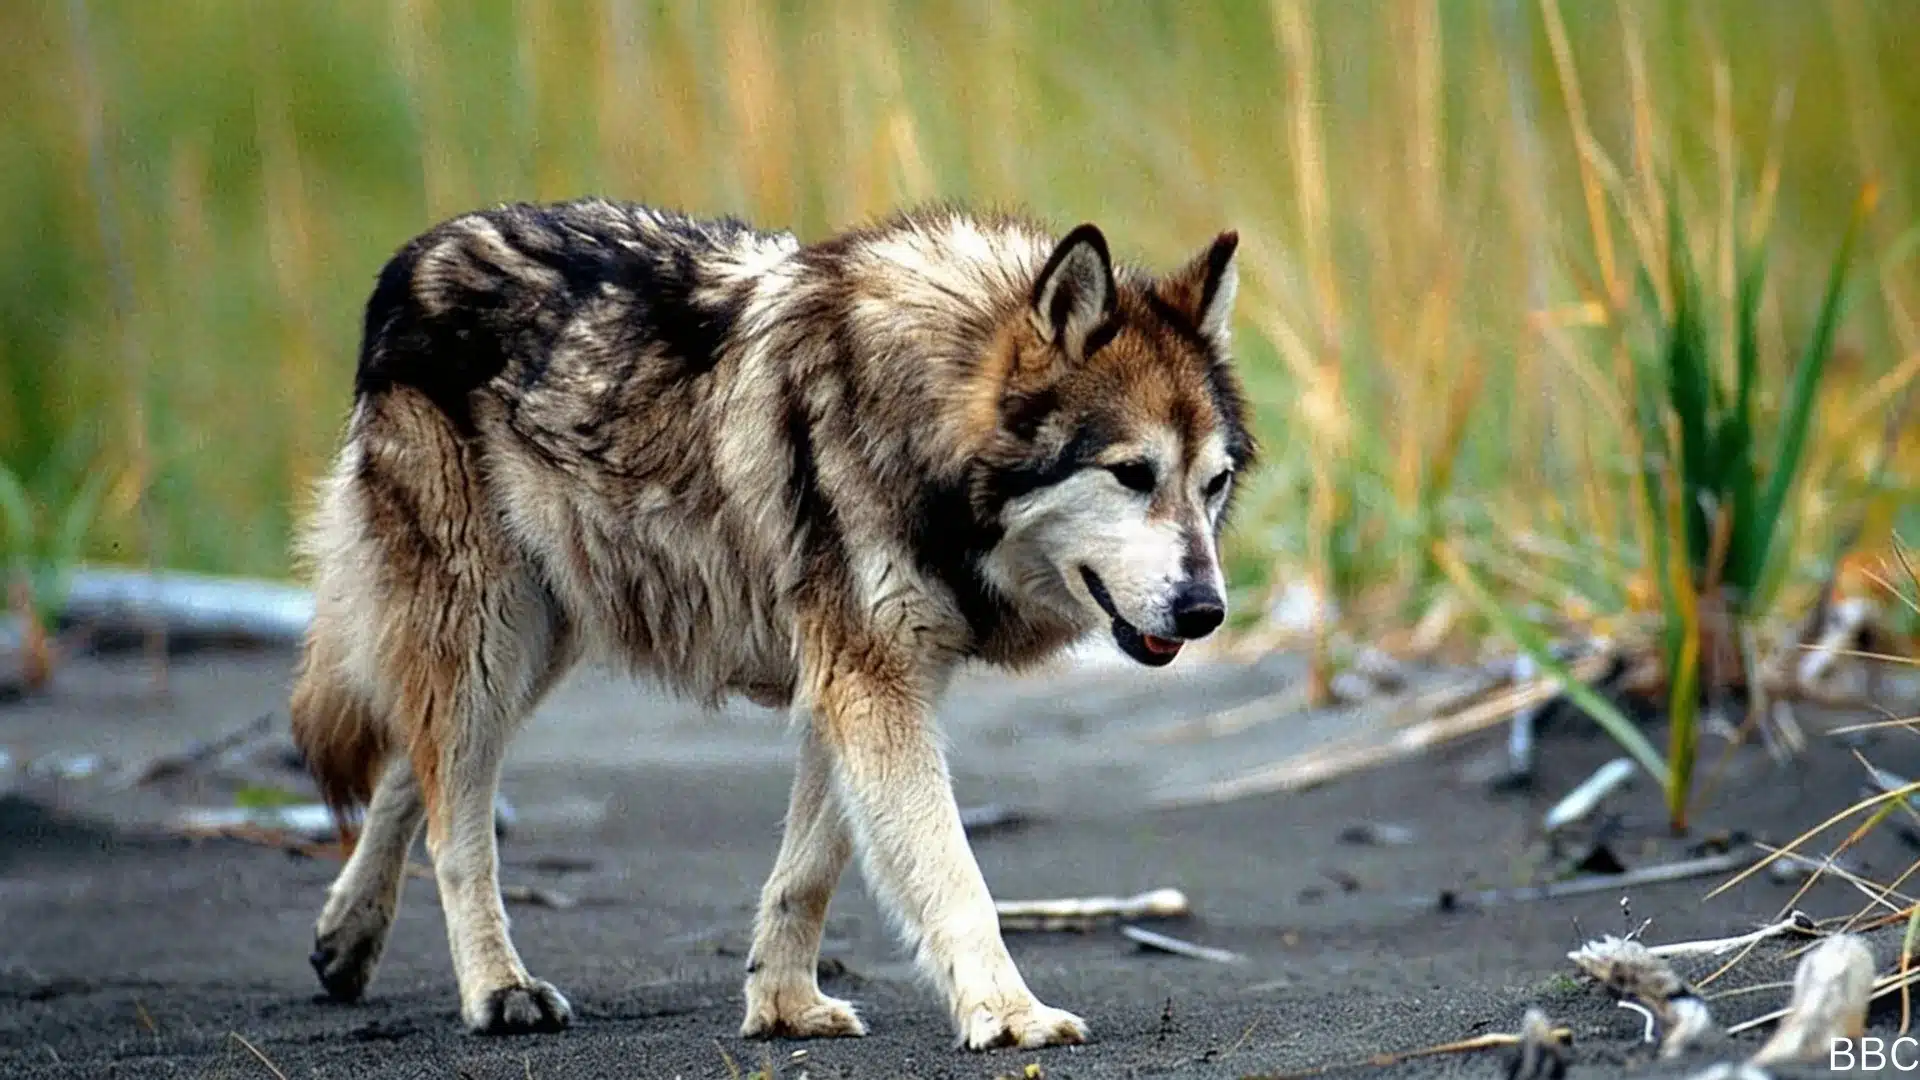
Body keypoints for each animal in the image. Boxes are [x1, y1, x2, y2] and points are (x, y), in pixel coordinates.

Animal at [290, 198, 1254, 1051]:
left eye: (1211, 485)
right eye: (1132, 473)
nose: (1207, 612)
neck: (916, 419)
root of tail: (416, 252)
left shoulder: (863, 681)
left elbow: (809, 874)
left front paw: (783, 1009)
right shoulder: (871, 683)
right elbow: (955, 878)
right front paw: (1011, 1017)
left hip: (537, 641)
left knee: (413, 766)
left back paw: (346, 940)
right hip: (493, 635)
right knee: (456, 821)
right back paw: (499, 990)